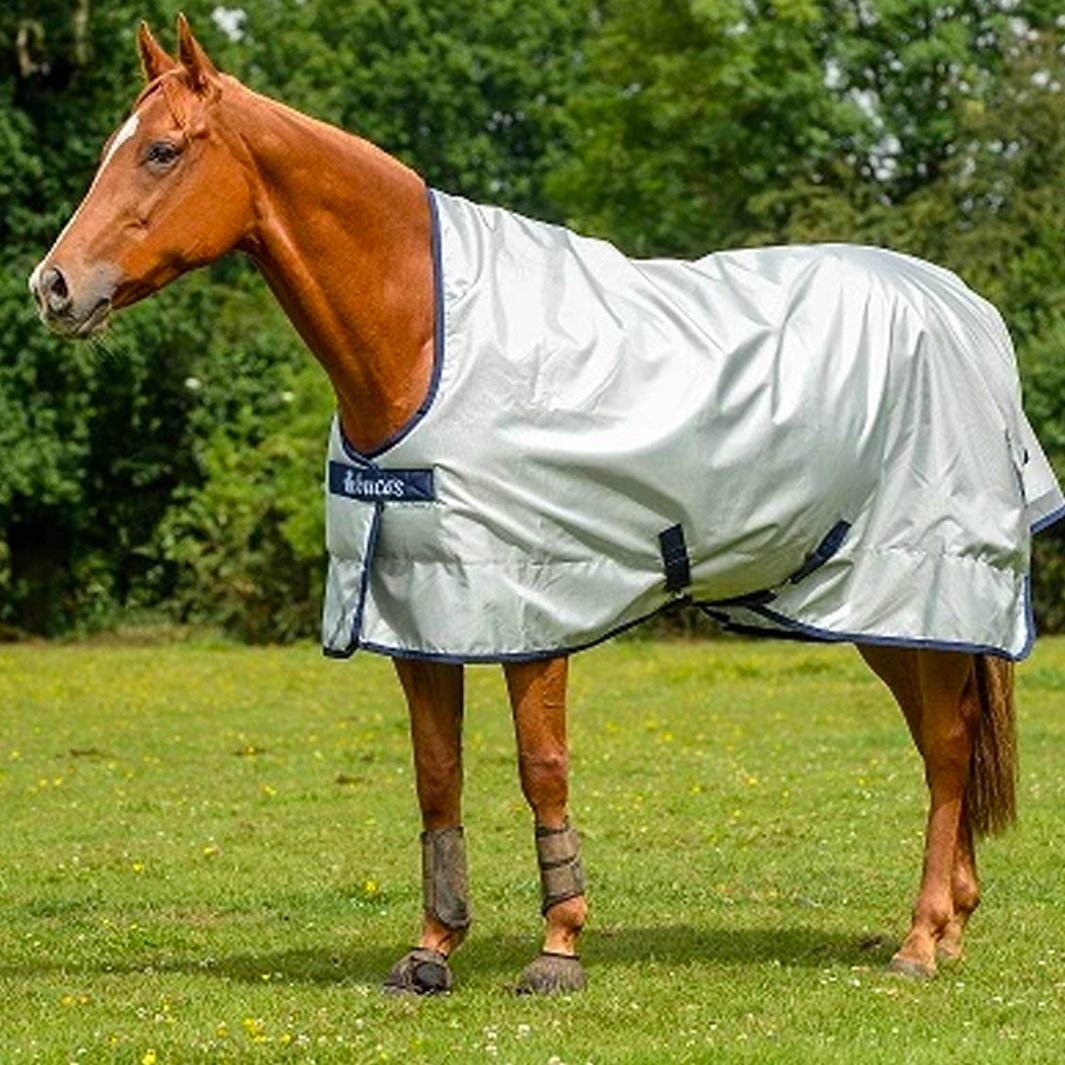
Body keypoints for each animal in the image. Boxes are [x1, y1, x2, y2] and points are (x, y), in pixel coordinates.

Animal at [29, 17, 1062, 994]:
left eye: (163, 150)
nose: (53, 286)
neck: (424, 337)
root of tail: (964, 308)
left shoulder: (535, 607)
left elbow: (541, 768)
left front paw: (558, 949)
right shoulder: (420, 616)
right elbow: (436, 777)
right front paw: (431, 948)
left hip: (919, 586)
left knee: (946, 747)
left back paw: (921, 942)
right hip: (876, 606)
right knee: (939, 744)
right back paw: (950, 924)